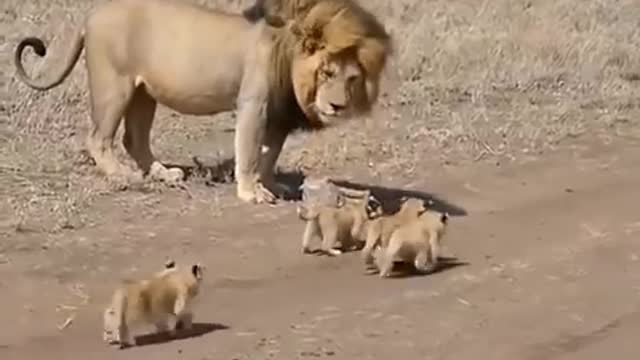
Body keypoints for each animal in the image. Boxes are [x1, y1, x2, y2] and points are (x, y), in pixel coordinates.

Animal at [13, 0, 390, 204]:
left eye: (351, 78)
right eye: (327, 72)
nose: (337, 106)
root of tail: (92, 16)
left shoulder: (277, 115)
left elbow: (269, 154)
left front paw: (271, 184)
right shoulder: (254, 104)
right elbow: (250, 152)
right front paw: (251, 192)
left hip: (144, 92)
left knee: (134, 139)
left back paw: (163, 173)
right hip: (114, 85)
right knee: (98, 138)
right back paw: (124, 175)